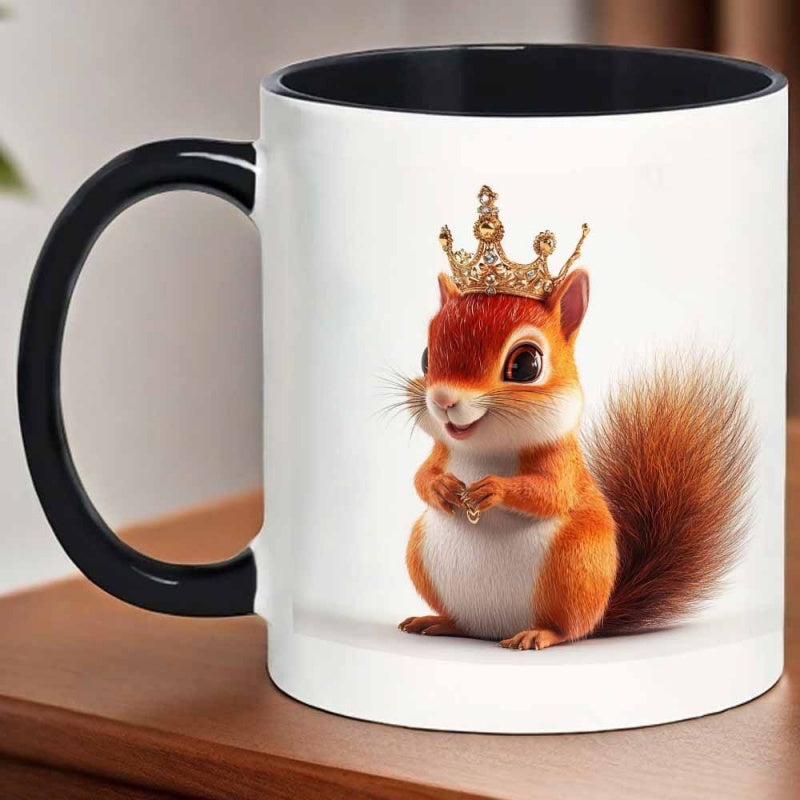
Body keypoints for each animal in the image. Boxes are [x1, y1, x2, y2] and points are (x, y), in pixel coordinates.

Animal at [396, 195, 754, 651]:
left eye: (526, 364)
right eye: (426, 356)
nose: (443, 400)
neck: (484, 448)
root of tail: (495, 629)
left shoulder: (563, 461)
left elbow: (551, 492)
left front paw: (495, 488)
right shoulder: (441, 450)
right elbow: (420, 476)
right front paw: (441, 487)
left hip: (575, 564)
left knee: (569, 629)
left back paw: (537, 634)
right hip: (421, 551)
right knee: (467, 623)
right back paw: (440, 622)